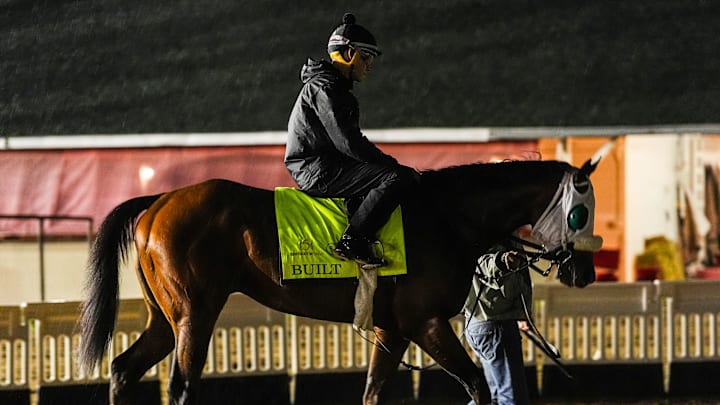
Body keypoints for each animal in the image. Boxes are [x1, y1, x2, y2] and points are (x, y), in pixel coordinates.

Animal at [78, 158, 601, 405]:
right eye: (580, 211)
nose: (585, 273)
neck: (448, 217)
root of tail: (159, 201)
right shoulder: (427, 324)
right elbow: (477, 384)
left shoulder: (392, 331)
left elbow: (373, 392)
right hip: (195, 315)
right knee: (183, 386)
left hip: (166, 319)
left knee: (123, 368)